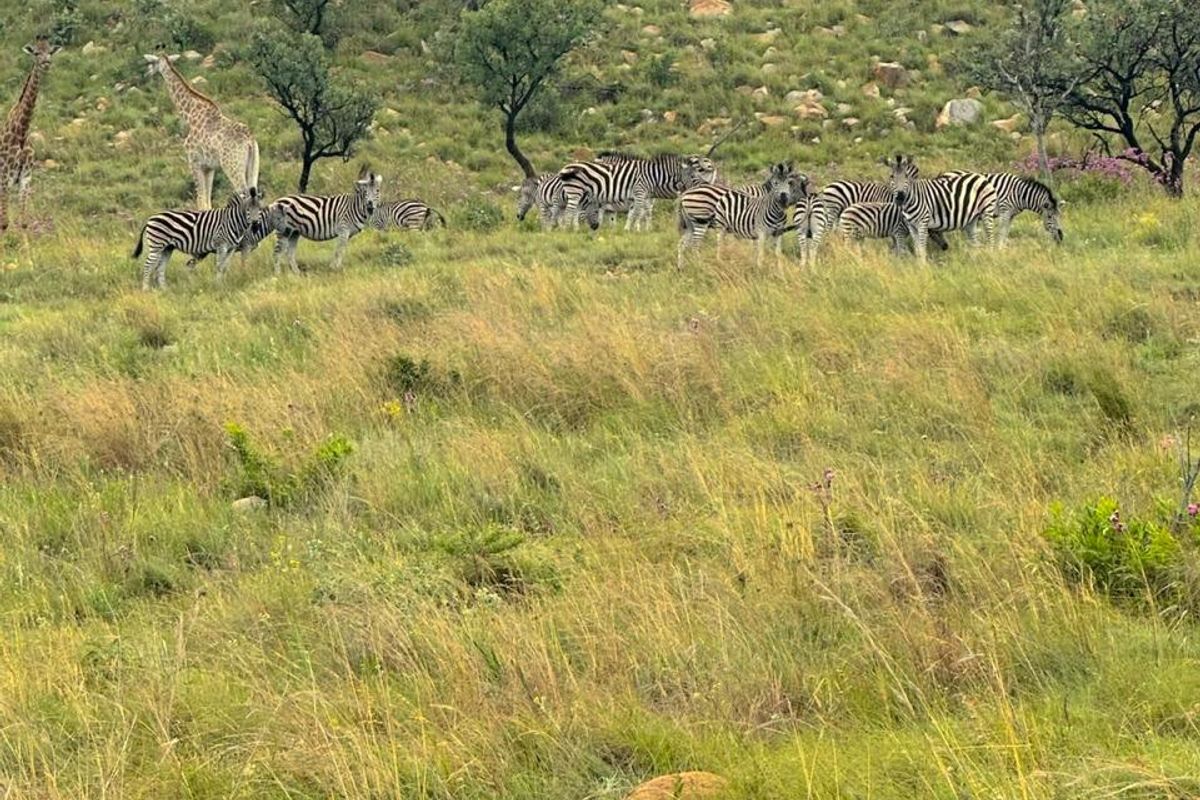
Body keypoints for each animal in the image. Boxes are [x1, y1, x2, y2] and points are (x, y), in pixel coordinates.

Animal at [0, 39, 60, 233]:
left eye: (50, 51)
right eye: (36, 53)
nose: (46, 62)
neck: (21, 133)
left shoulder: (25, 179)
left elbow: (24, 223)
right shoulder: (5, 179)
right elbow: (4, 224)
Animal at [132, 186, 263, 290]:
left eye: (260, 209)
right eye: (248, 209)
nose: (255, 225)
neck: (232, 221)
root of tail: (150, 218)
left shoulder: (231, 248)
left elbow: (225, 267)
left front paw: (223, 284)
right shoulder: (221, 245)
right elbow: (219, 266)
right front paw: (218, 286)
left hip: (167, 248)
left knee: (160, 268)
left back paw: (164, 289)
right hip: (157, 245)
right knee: (148, 265)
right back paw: (145, 289)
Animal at [144, 53, 259, 210]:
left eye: (152, 62)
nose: (146, 73)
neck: (189, 114)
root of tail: (250, 141)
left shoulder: (194, 161)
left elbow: (200, 201)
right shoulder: (209, 167)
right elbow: (208, 202)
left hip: (232, 167)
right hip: (253, 166)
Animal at [559, 153, 717, 231]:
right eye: (693, 176)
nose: (704, 184)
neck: (653, 176)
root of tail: (565, 167)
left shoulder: (641, 196)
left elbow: (637, 213)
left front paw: (633, 229)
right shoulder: (640, 194)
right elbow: (637, 213)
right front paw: (633, 230)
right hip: (576, 192)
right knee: (570, 211)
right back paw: (567, 229)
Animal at [677, 162, 807, 269]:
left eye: (790, 183)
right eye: (793, 184)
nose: (784, 197)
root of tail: (685, 194)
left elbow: (765, 250)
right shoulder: (756, 227)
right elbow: (757, 249)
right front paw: (757, 267)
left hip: (691, 224)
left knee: (682, 244)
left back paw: (681, 267)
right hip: (702, 221)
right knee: (695, 244)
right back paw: (699, 265)